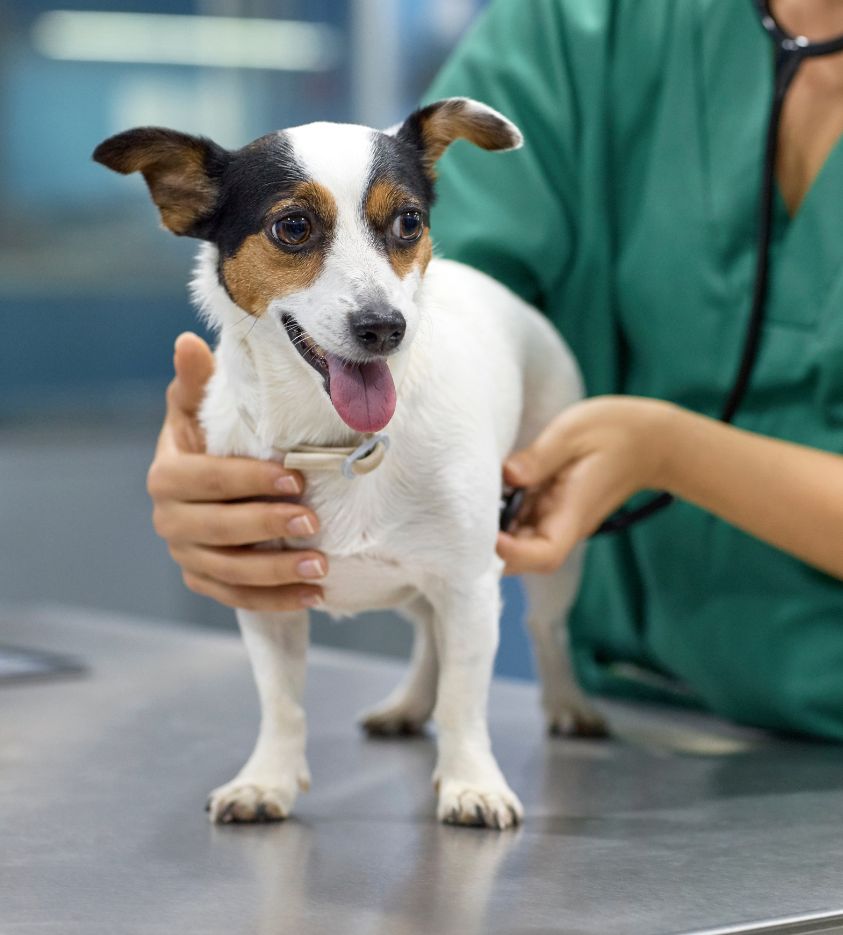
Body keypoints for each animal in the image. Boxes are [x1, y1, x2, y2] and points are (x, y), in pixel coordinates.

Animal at [94, 98, 608, 828]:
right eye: (293, 227)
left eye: (408, 222)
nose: (384, 326)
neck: (339, 444)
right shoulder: (265, 594)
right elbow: (282, 702)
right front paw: (268, 780)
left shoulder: (470, 584)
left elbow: (466, 699)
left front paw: (471, 782)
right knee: (428, 636)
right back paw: (408, 704)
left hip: (547, 545)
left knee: (545, 628)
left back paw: (568, 704)